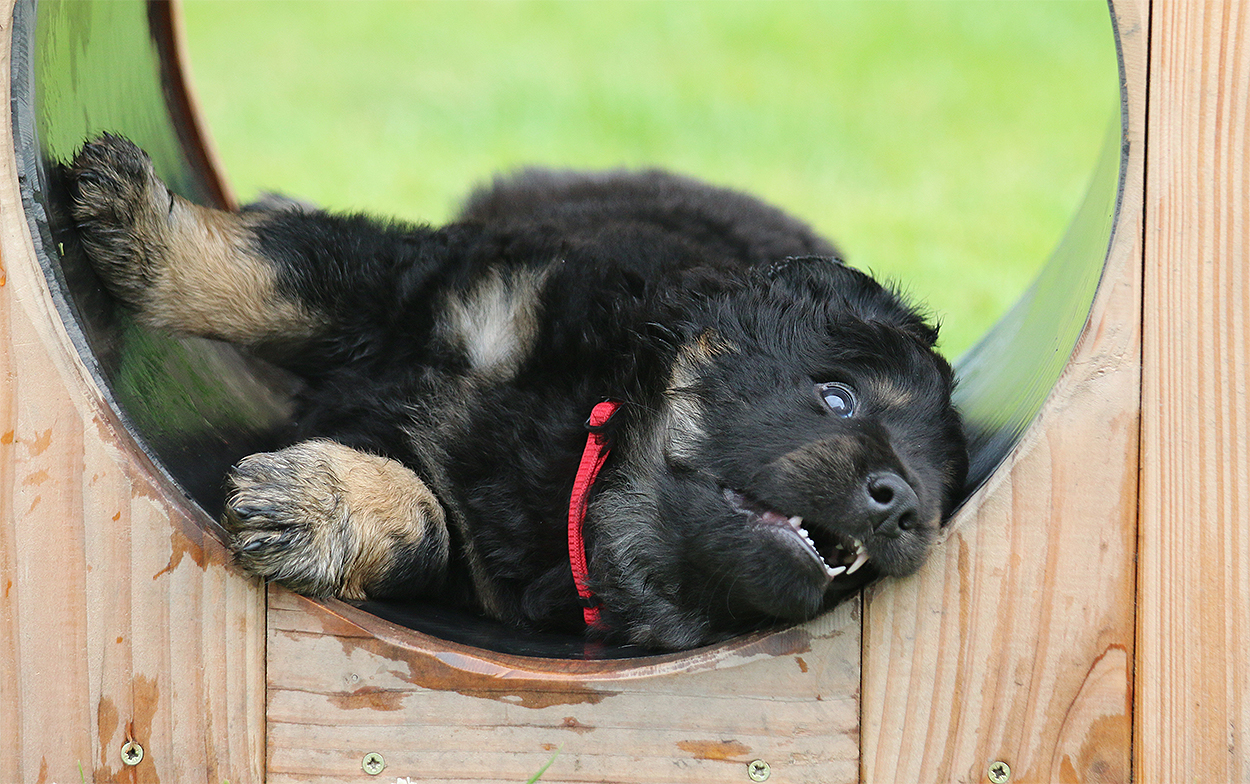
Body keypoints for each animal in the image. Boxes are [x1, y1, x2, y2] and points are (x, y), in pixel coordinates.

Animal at [68, 134, 967, 651]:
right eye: (838, 397)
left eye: (935, 487)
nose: (901, 506)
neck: (580, 448)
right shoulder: (437, 284)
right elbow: (278, 268)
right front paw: (129, 214)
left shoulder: (476, 578)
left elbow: (428, 521)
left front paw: (314, 506)